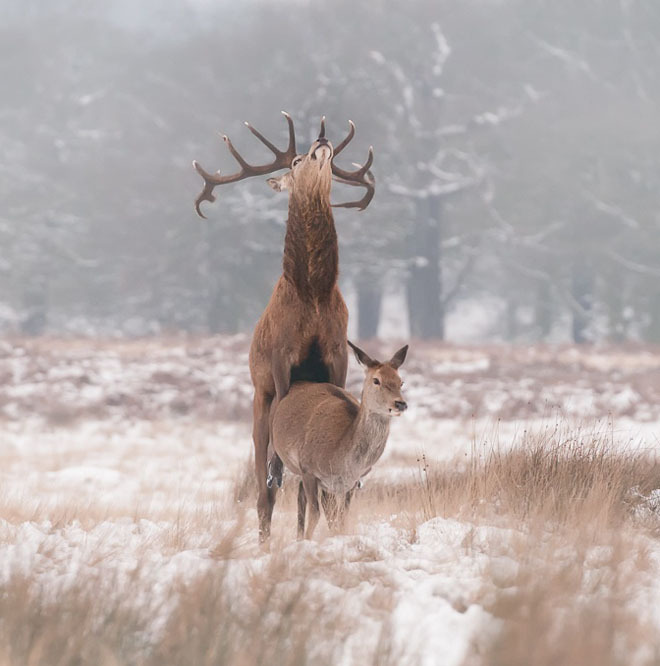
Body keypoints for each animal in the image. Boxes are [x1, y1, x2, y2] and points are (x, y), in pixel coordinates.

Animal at [270, 340, 408, 536]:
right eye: (376, 380)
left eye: (400, 381)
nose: (400, 403)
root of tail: (298, 382)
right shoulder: (309, 469)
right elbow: (315, 513)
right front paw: (307, 540)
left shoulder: (351, 483)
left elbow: (342, 518)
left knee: (302, 498)